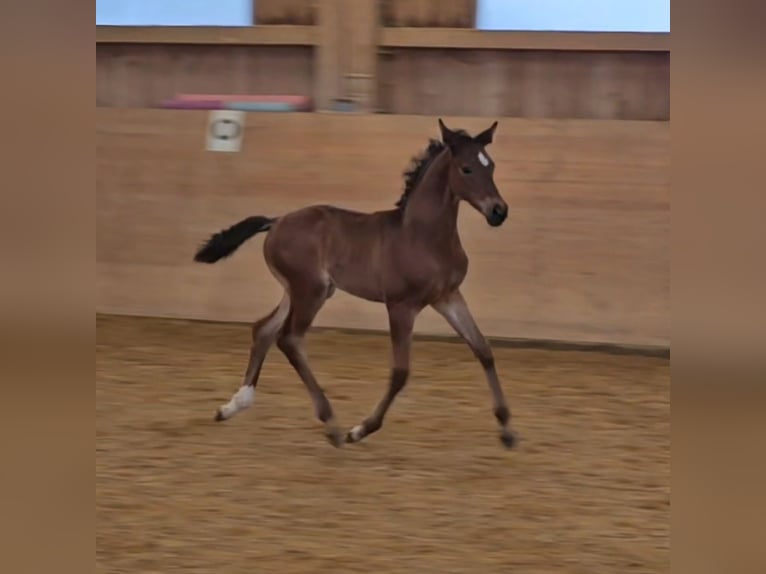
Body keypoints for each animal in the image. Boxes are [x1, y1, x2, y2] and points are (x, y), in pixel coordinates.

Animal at [194, 118, 516, 450]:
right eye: (466, 169)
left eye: (491, 166)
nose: (498, 211)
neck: (423, 236)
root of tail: (276, 221)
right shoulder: (401, 306)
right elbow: (400, 372)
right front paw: (360, 429)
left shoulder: (448, 297)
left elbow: (483, 349)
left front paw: (506, 429)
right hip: (310, 291)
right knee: (289, 339)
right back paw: (332, 425)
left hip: (299, 291)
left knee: (264, 329)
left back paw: (233, 405)